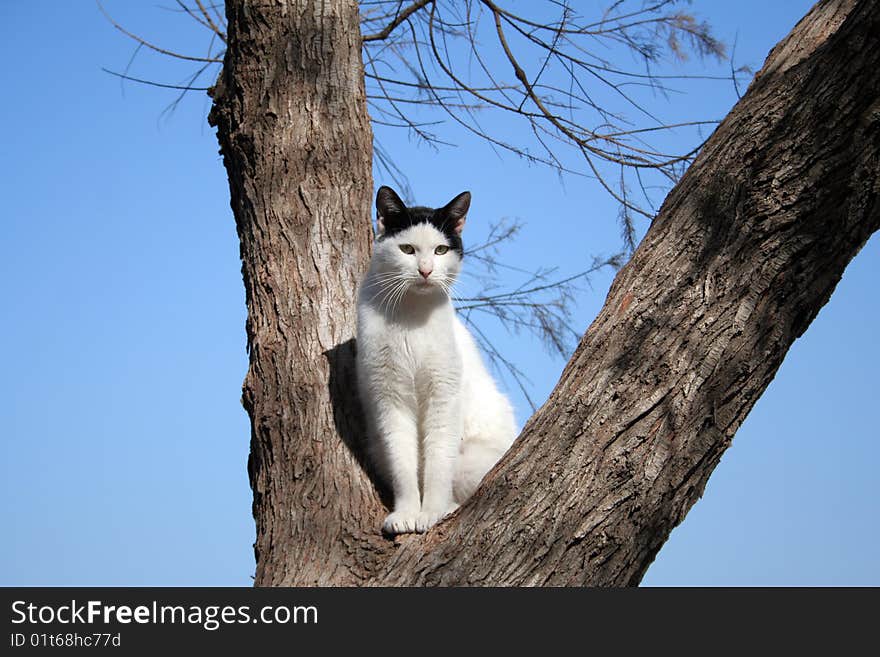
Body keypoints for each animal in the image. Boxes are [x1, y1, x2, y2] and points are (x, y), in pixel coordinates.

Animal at [356, 184, 520, 532]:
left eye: (441, 250)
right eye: (407, 249)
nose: (426, 271)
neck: (411, 314)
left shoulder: (443, 395)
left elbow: (437, 462)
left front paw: (431, 511)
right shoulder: (390, 399)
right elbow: (403, 463)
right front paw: (406, 514)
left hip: (470, 460)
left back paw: (449, 506)